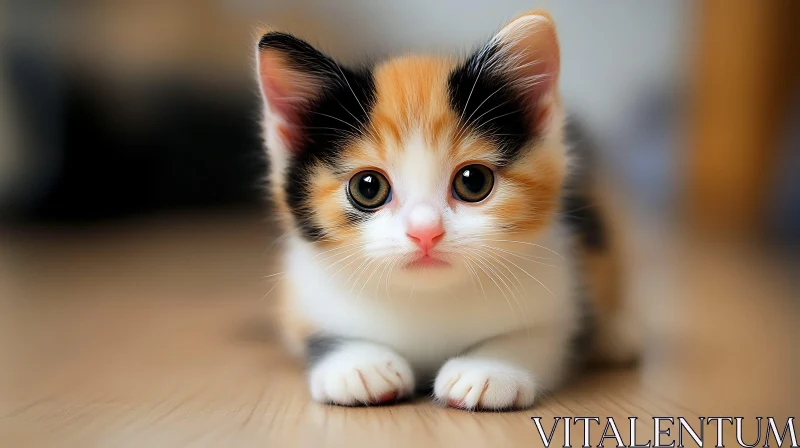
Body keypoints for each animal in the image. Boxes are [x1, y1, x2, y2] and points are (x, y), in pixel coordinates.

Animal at [256, 11, 636, 410]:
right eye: (367, 188)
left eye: (473, 181)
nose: (425, 231)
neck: (428, 300)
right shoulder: (302, 295)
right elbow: (319, 334)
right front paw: (359, 366)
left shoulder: (561, 290)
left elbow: (546, 336)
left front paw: (489, 369)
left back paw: (617, 334)